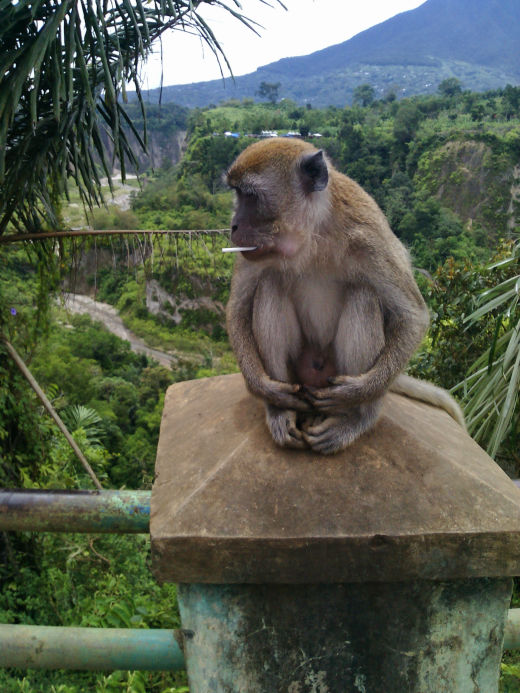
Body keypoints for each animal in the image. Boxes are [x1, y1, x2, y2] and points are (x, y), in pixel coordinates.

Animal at [224, 138, 464, 455]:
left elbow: (413, 316)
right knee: (270, 284)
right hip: (300, 376)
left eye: (250, 197)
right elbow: (237, 309)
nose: (234, 225)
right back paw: (280, 410)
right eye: (237, 194)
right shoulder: (255, 250)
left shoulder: (369, 240)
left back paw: (355, 417)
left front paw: (357, 392)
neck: (312, 234)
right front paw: (262, 388)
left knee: (364, 294)